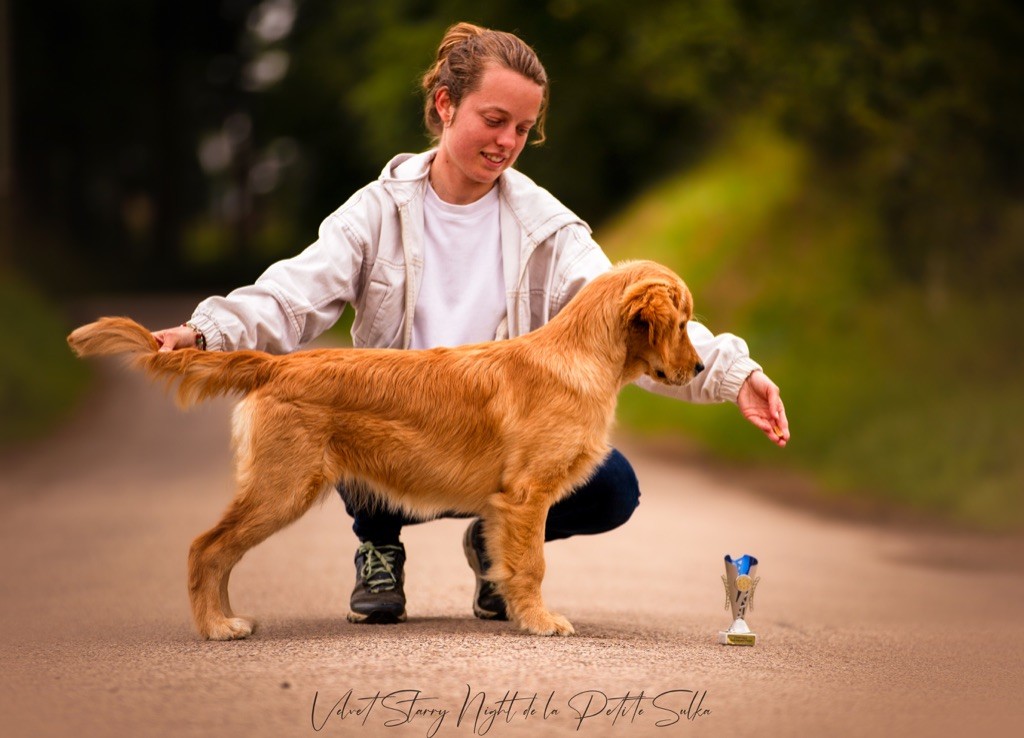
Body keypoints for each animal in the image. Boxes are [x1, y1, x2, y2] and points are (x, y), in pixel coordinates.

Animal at [66, 258, 704, 638]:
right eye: (682, 322)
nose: (699, 368)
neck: (580, 355)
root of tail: (274, 364)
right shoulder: (527, 497)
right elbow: (533, 565)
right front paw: (541, 621)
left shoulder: (510, 504)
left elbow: (509, 560)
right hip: (282, 487)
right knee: (207, 548)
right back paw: (216, 627)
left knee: (219, 552)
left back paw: (225, 619)